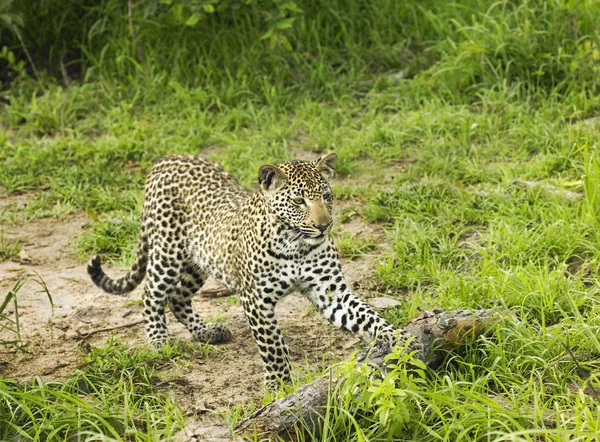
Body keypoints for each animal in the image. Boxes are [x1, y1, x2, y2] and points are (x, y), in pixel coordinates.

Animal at [88, 154, 418, 388]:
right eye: (298, 200)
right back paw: (159, 340)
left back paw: (207, 331)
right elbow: (273, 346)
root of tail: (164, 160)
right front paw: (279, 387)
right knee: (151, 294)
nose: (324, 225)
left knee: (178, 298)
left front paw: (402, 339)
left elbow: (369, 316)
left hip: (201, 260)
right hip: (168, 252)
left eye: (327, 196)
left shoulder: (331, 292)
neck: (295, 243)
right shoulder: (256, 299)